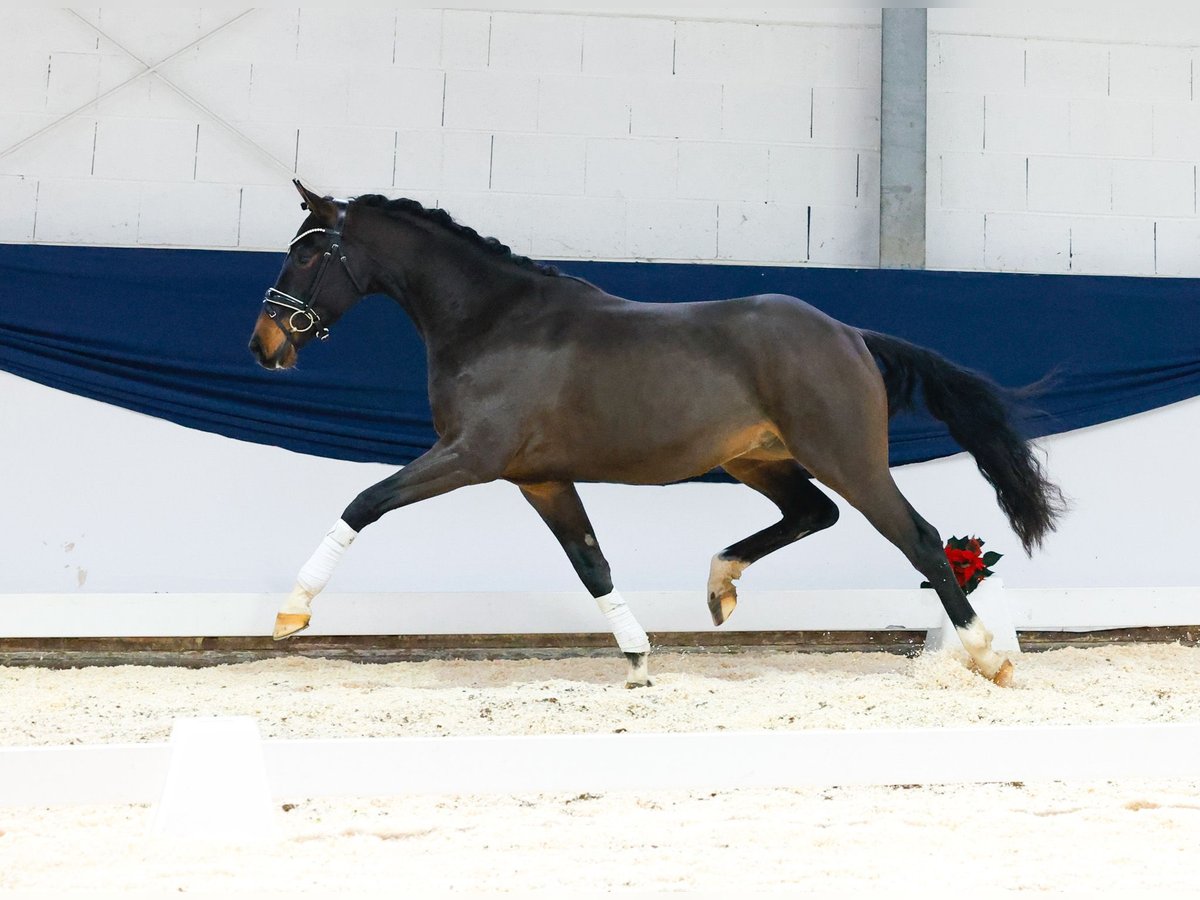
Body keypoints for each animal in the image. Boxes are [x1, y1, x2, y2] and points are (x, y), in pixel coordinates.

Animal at [248, 181, 1065, 691]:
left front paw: (291, 614)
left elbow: (364, 502)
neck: (494, 321)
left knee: (919, 539)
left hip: (847, 459)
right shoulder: (539, 477)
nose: (265, 345)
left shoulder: (470, 456)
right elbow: (592, 565)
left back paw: (988, 658)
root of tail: (851, 335)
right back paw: (720, 587)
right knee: (812, 512)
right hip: (757, 460)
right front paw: (639, 662)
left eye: (308, 251)